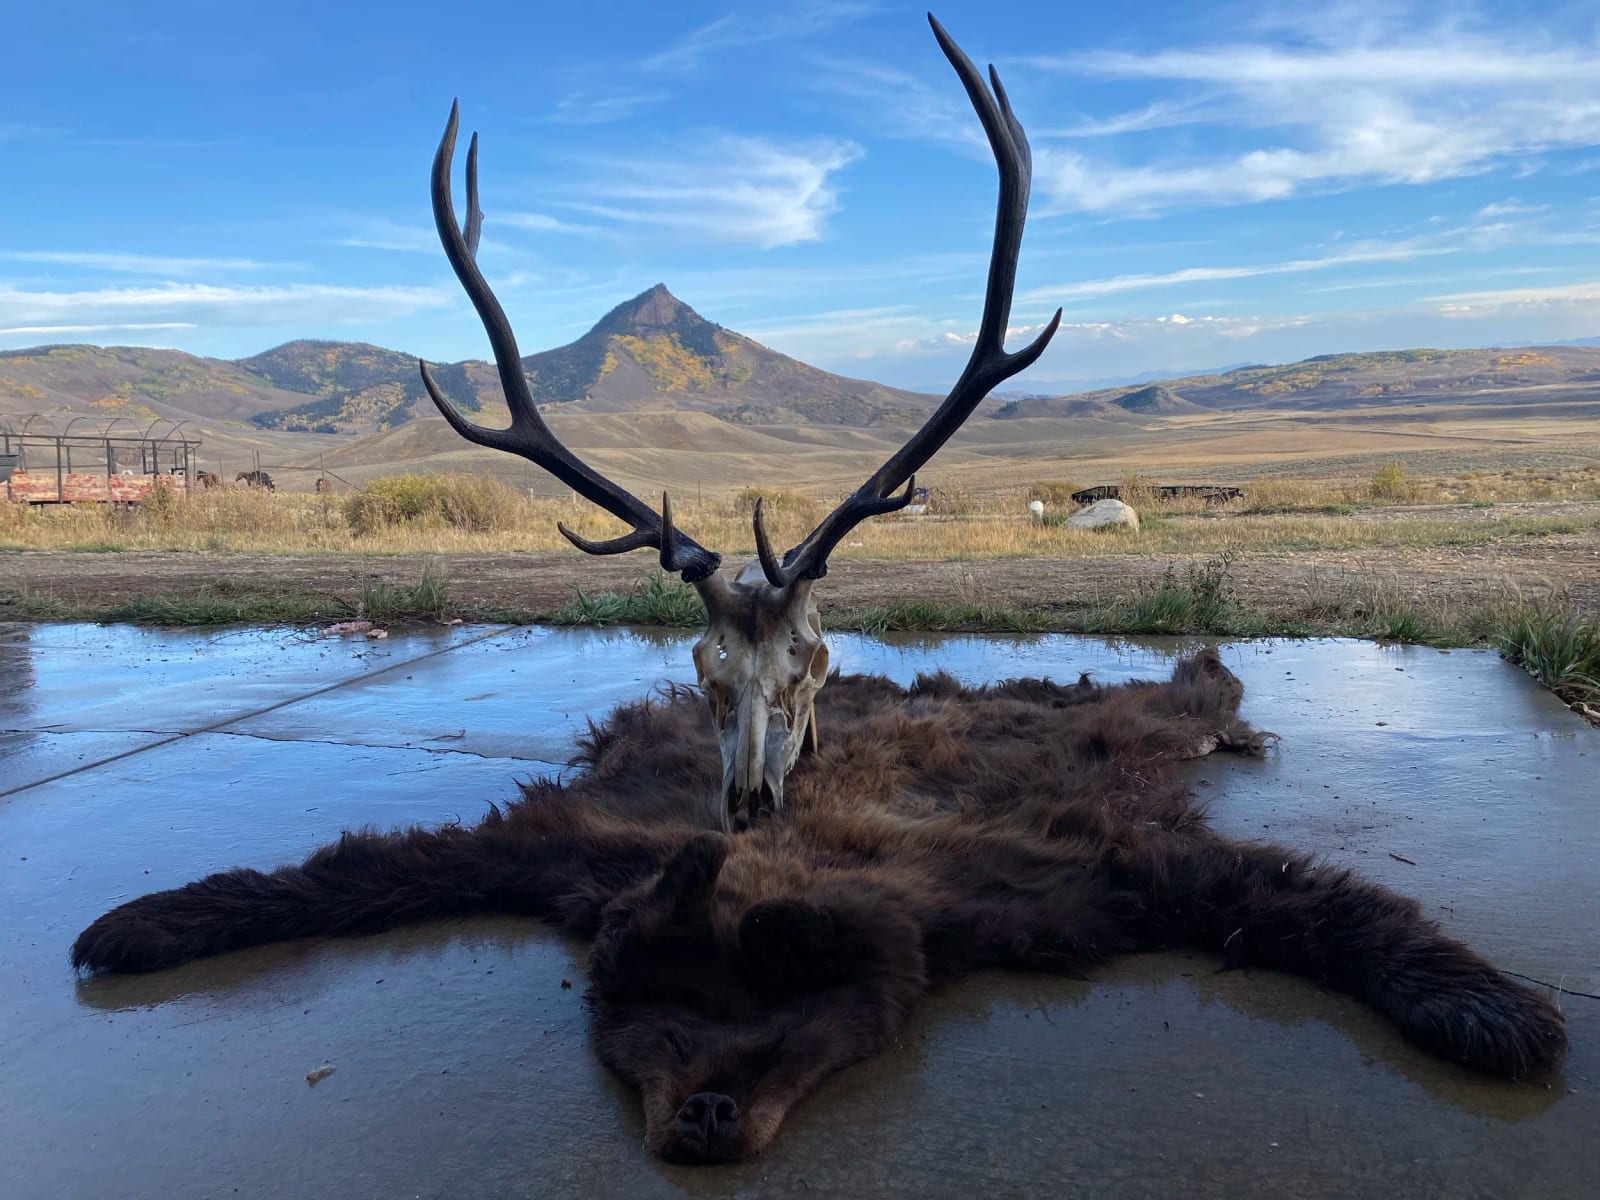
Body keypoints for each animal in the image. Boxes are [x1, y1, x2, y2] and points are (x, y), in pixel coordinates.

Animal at [71, 15, 1567, 1169]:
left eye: (810, 669)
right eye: (697, 676)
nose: (743, 805)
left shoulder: (1081, 862)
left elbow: (1311, 903)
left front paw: (1500, 1009)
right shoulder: (566, 839)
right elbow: (352, 871)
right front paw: (147, 919)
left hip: (1120, 726)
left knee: (1186, 695)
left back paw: (1210, 691)